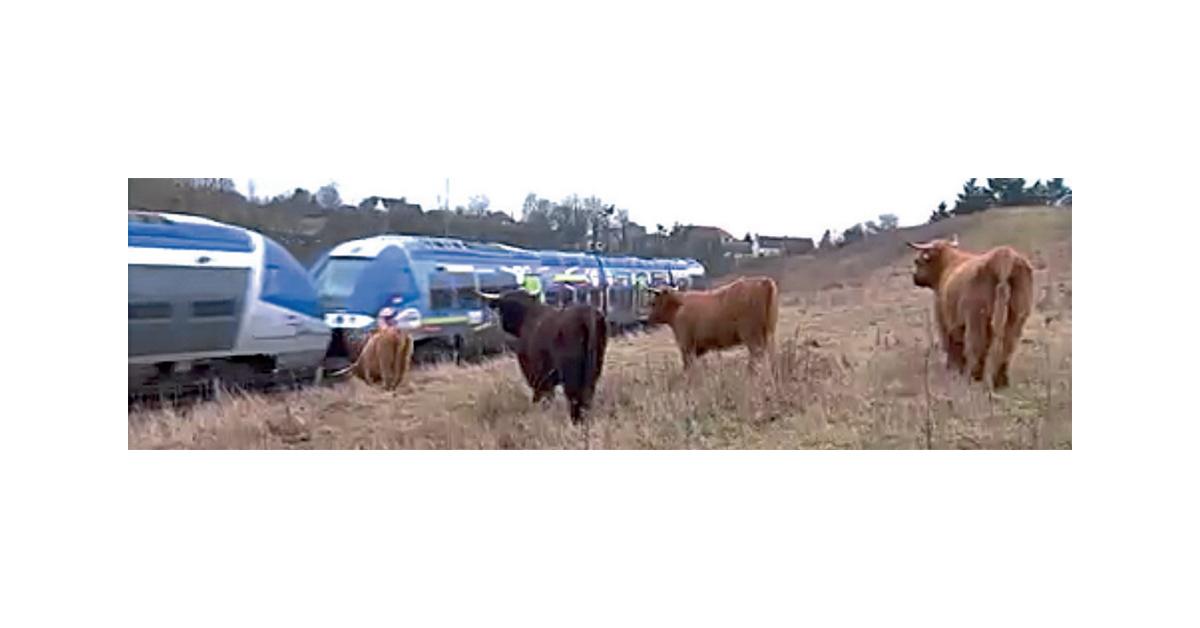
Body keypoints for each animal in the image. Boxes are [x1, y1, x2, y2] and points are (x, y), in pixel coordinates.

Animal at [477, 289, 607, 424]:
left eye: (503, 307)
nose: (504, 324)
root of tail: (586, 313)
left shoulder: (536, 376)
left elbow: (542, 397)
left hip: (571, 372)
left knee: (575, 398)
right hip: (593, 369)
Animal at [647, 276, 779, 369]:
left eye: (653, 303)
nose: (647, 320)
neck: (679, 306)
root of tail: (764, 281)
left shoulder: (686, 345)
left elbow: (688, 368)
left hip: (751, 335)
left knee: (757, 355)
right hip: (768, 334)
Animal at [908, 235, 1034, 389]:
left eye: (917, 261)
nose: (914, 277)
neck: (947, 265)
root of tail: (1004, 256)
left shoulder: (944, 318)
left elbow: (952, 343)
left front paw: (954, 370)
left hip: (975, 317)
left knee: (976, 345)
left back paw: (974, 378)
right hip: (1017, 316)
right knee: (1008, 345)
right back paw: (1000, 381)